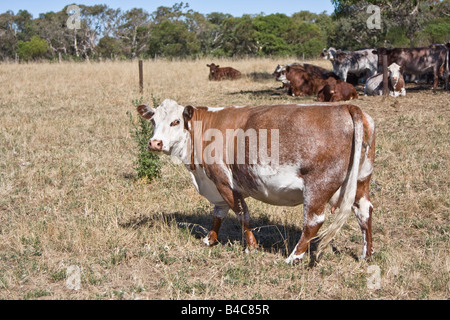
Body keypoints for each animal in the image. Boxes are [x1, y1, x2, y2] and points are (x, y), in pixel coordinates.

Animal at [137, 99, 376, 264]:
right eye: (153, 121)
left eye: (175, 121)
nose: (155, 143)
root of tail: (346, 106)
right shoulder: (216, 185)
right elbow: (218, 214)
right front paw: (209, 240)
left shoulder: (224, 182)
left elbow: (242, 214)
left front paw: (251, 246)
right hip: (362, 180)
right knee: (364, 211)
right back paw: (367, 254)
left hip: (318, 185)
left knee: (313, 221)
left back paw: (293, 257)